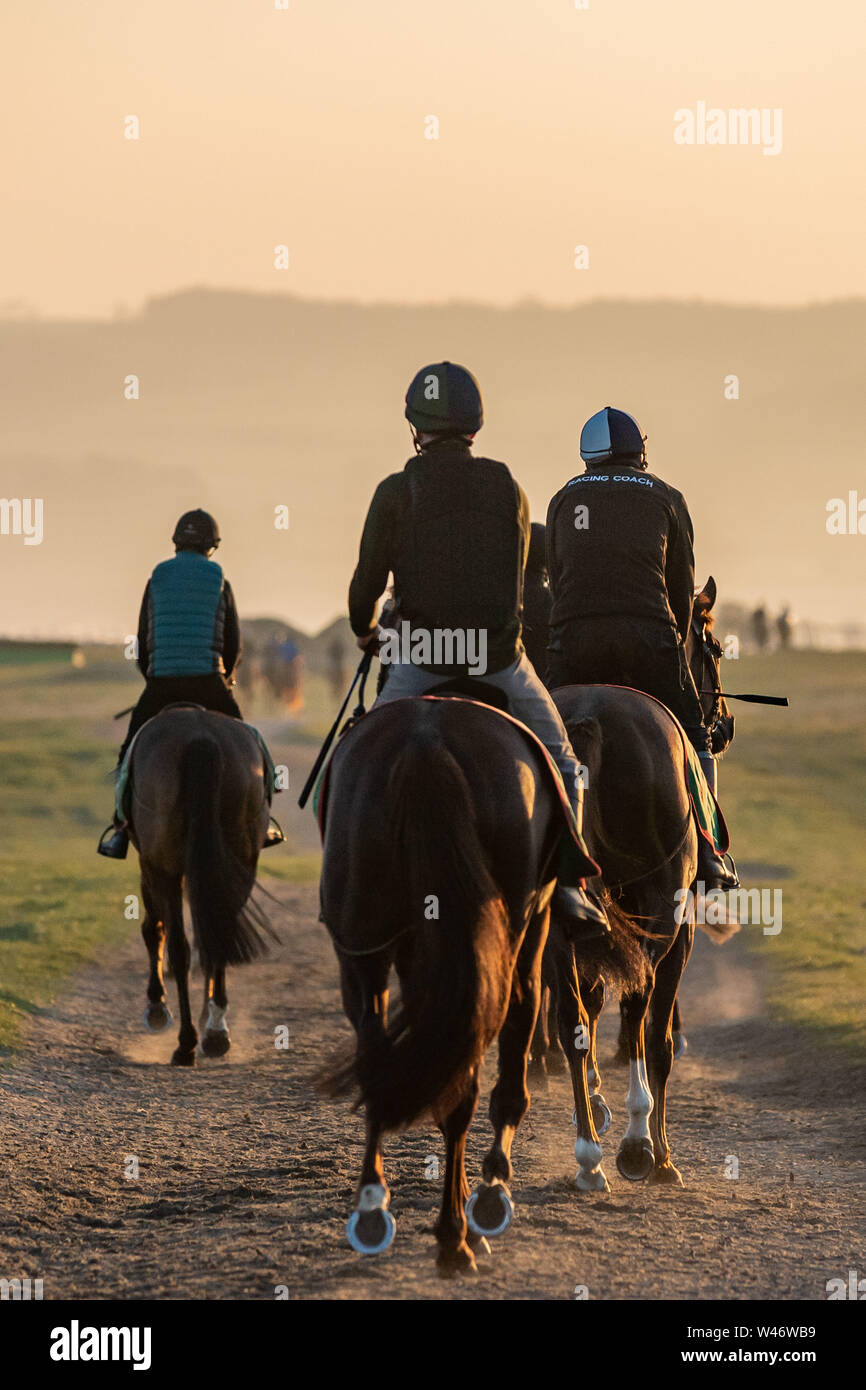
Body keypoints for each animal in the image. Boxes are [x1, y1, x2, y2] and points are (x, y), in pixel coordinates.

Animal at [126, 706, 271, 1061]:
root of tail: (200, 738)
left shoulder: (151, 864)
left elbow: (154, 929)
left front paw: (156, 1007)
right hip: (241, 861)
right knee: (218, 933)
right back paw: (215, 1031)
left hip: (163, 866)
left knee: (178, 946)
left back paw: (186, 1040)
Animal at [318, 700, 569, 1273]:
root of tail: (426, 740)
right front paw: (489, 1190)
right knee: (471, 1077)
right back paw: (462, 1225)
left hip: (363, 949)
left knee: (379, 1058)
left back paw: (376, 1210)